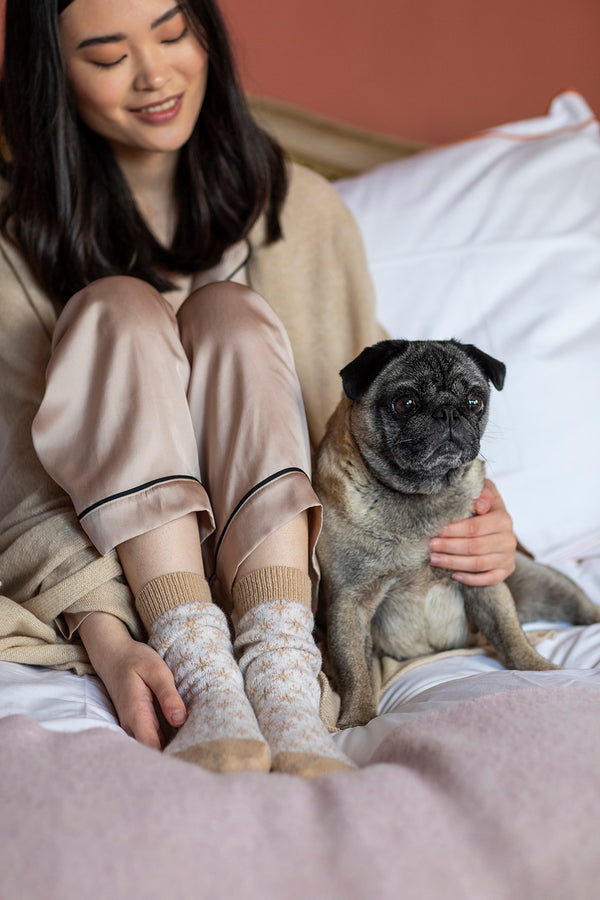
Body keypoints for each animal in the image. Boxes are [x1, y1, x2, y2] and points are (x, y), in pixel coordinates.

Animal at [314, 342, 600, 728]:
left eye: (475, 402)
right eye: (405, 403)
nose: (448, 411)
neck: (420, 496)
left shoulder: (484, 582)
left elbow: (510, 633)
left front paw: (541, 670)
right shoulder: (350, 603)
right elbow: (355, 669)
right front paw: (358, 719)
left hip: (546, 584)